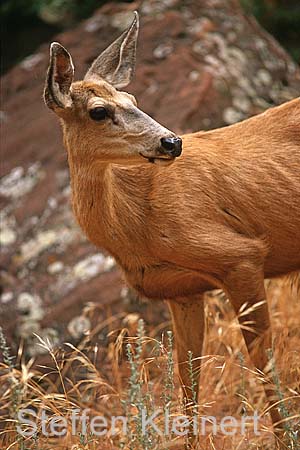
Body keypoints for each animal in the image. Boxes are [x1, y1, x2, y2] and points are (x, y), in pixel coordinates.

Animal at [44, 10, 300, 446]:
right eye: (99, 111)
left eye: (133, 100)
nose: (171, 142)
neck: (138, 230)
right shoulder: (181, 290)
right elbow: (187, 381)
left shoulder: (241, 257)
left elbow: (264, 367)